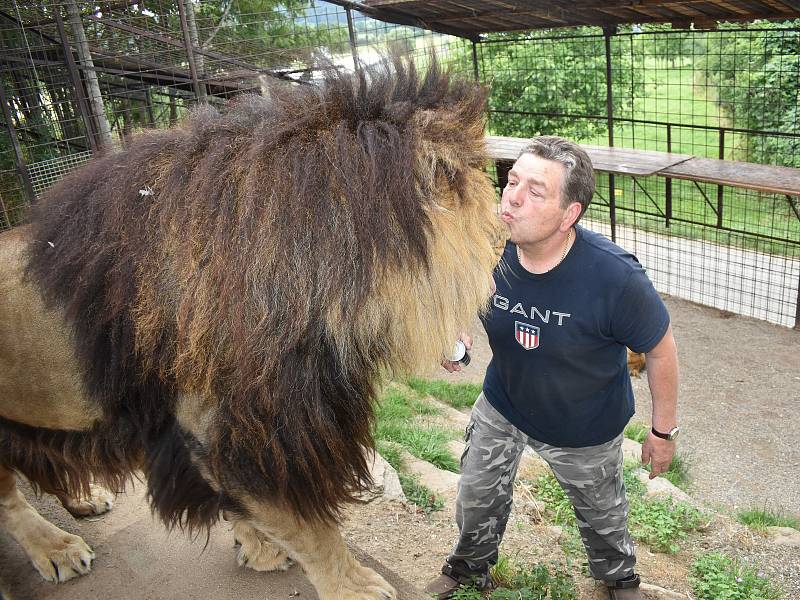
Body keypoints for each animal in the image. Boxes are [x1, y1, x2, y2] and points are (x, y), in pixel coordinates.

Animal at [0, 57, 500, 600]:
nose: (501, 269)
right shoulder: (231, 428)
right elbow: (310, 528)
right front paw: (353, 586)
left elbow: (241, 506)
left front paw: (256, 547)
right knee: (9, 498)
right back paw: (56, 548)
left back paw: (85, 501)